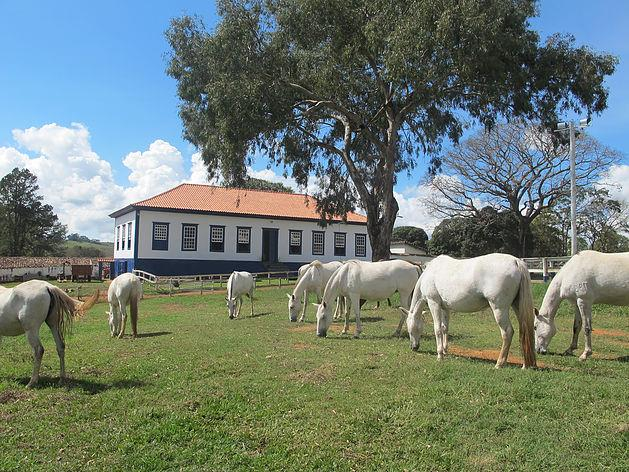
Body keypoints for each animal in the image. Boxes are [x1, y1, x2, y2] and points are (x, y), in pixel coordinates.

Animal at [402, 254, 536, 368]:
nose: (414, 347)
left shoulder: (433, 303)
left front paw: (440, 355)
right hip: (518, 307)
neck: (430, 272)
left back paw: (499, 363)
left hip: (499, 309)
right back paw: (525, 365)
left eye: (411, 329)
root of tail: (515, 261)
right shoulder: (445, 308)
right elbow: (445, 328)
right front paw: (445, 350)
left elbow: (438, 329)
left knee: (507, 332)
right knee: (524, 331)